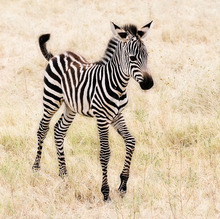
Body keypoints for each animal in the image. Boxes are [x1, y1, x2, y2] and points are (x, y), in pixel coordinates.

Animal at [32, 21, 153, 201]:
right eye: (132, 58)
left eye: (147, 56)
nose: (149, 84)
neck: (118, 86)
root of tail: (57, 56)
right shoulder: (102, 118)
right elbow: (105, 153)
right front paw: (105, 192)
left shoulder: (117, 115)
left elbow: (131, 142)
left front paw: (123, 185)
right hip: (51, 99)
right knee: (43, 129)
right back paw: (36, 168)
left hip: (71, 106)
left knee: (59, 130)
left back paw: (63, 174)